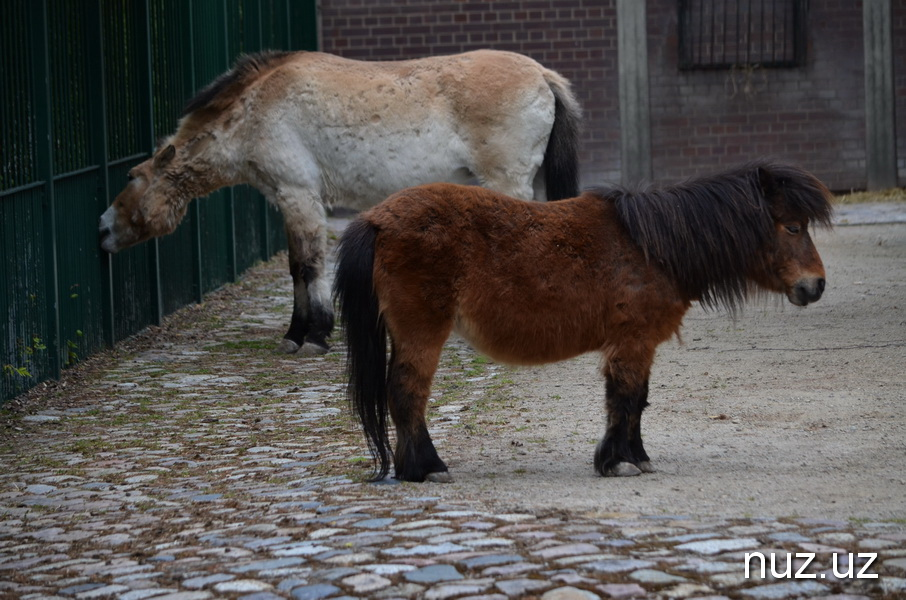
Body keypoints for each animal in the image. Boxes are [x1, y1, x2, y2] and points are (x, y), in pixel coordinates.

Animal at [97, 51, 580, 354]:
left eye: (132, 177)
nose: (101, 229)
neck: (255, 109)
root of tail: (542, 75)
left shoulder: (299, 196)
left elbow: (309, 266)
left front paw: (313, 335)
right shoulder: (287, 202)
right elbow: (297, 267)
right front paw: (296, 333)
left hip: (508, 182)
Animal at [334, 161, 832, 482]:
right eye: (792, 227)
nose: (816, 286)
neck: (652, 247)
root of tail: (377, 218)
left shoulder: (637, 345)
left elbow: (637, 401)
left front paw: (635, 457)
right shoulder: (632, 343)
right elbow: (625, 400)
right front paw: (617, 461)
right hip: (422, 333)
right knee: (408, 393)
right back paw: (428, 468)